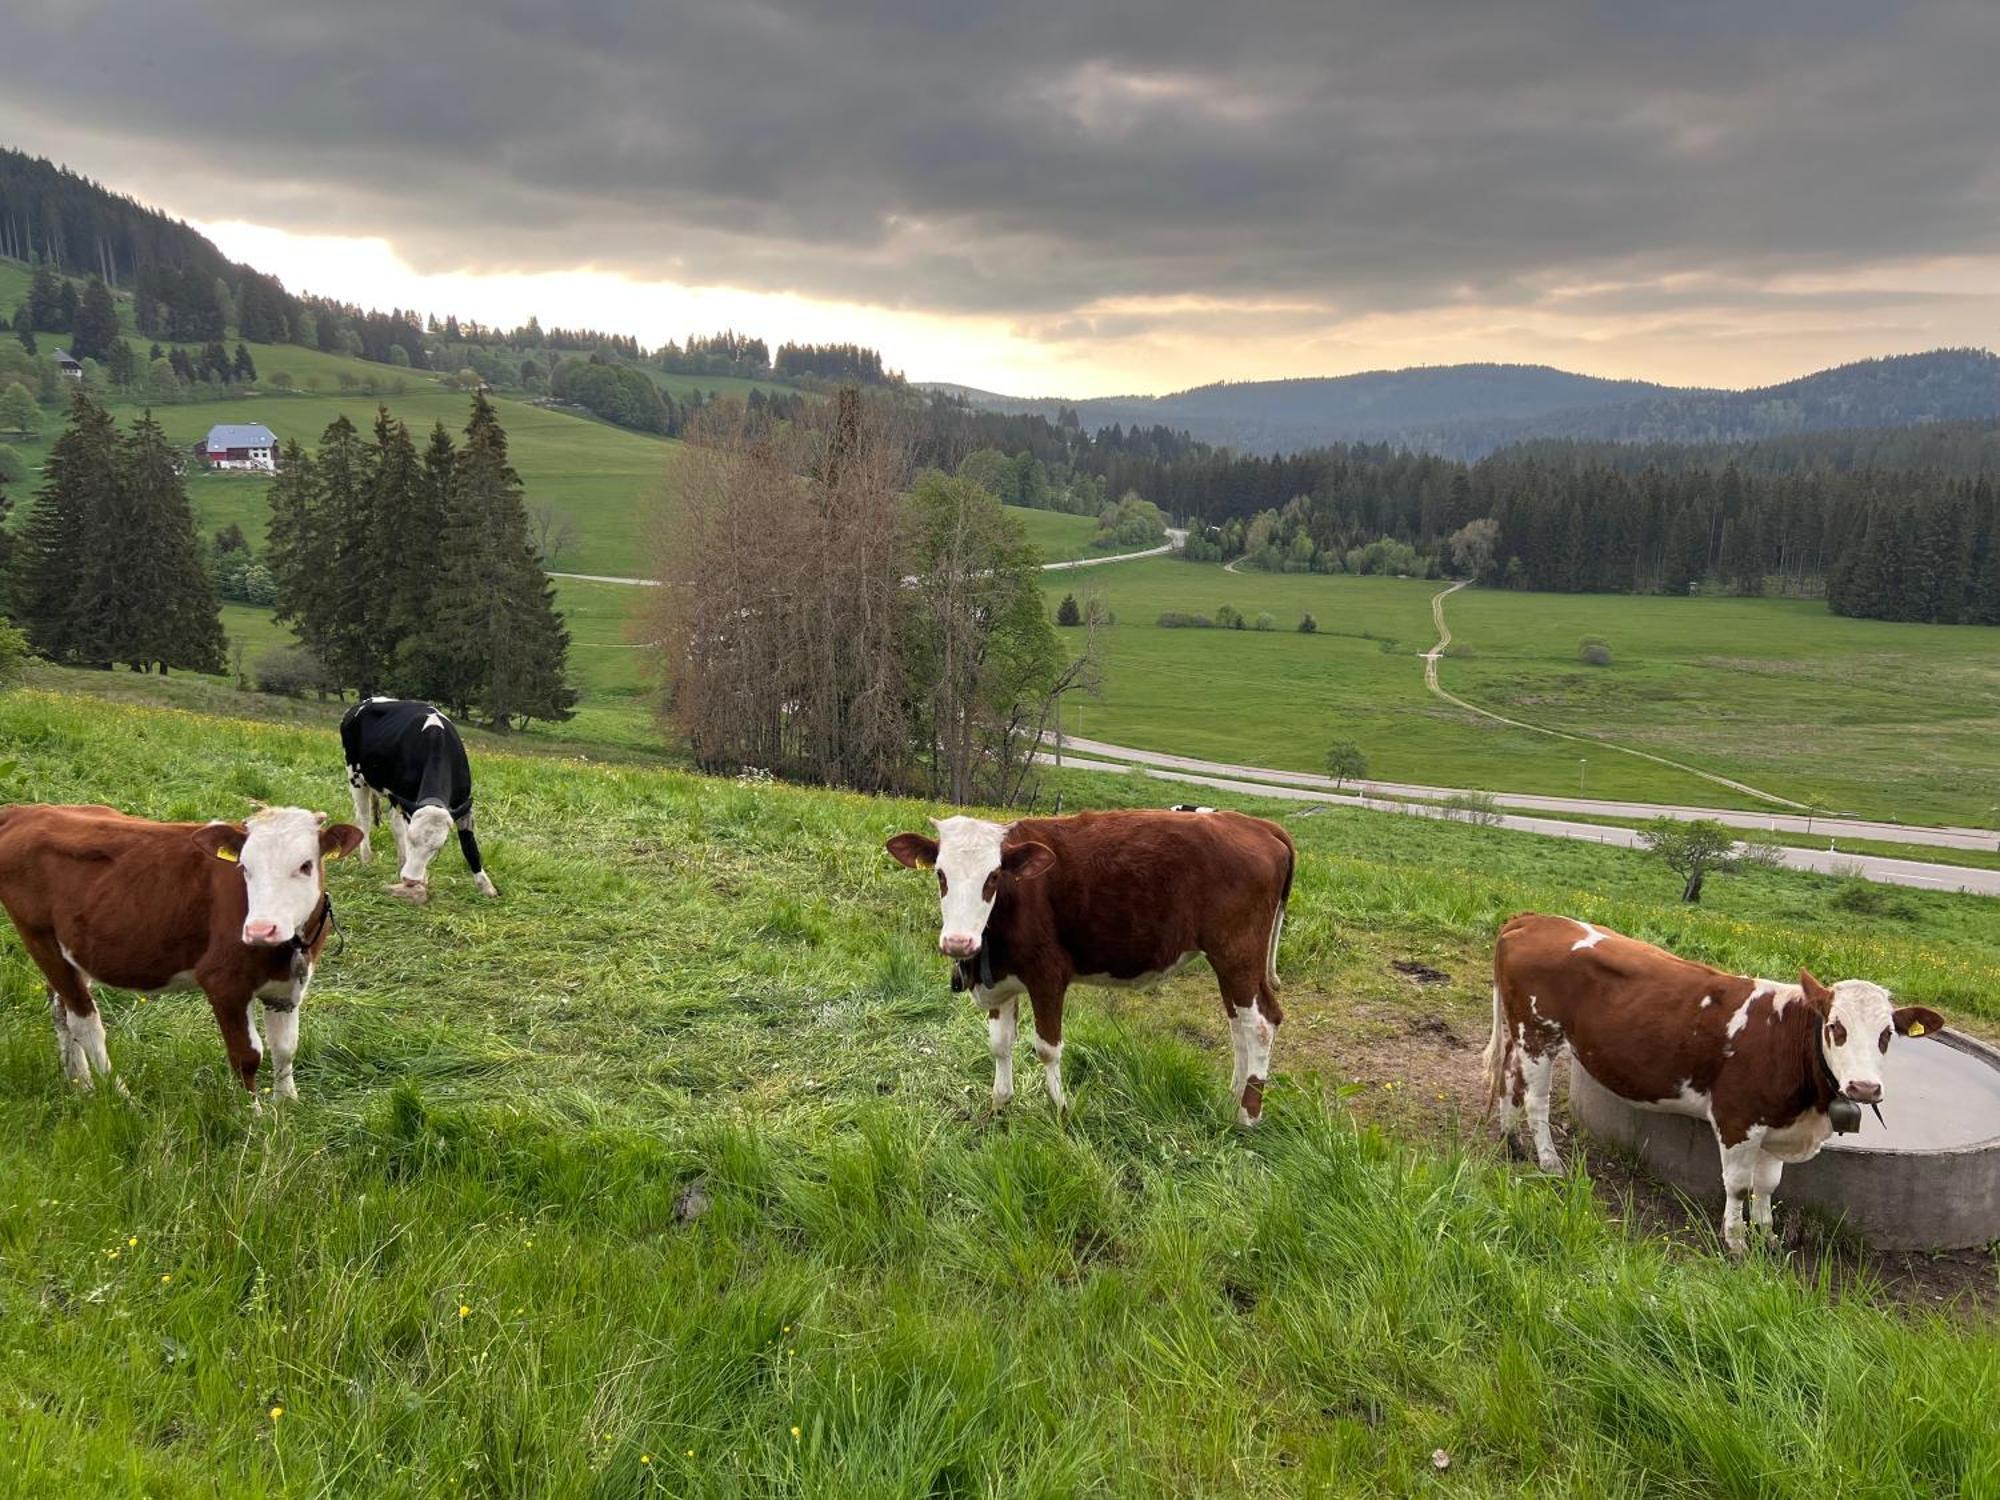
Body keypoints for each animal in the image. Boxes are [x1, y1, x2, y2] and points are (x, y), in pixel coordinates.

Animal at [0, 812, 366, 1104]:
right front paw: (253, 1119)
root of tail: (27, 812)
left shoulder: (286, 987)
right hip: (39, 938)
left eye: (305, 865)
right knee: (84, 1022)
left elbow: (286, 1048)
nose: (261, 929)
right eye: (244, 867)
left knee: (60, 1009)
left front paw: (287, 1105)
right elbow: (246, 1056)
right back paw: (120, 1096)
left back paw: (80, 1084)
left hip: (72, 950)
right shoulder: (223, 982)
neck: (287, 948)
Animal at [336, 704, 492, 904]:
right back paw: (367, 858)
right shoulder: (407, 804)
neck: (437, 743)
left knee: (394, 823)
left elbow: (469, 846)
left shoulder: (462, 805)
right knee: (364, 818)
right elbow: (402, 833)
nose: (410, 880)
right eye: (411, 839)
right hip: (356, 777)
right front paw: (421, 880)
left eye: (438, 847)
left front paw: (486, 886)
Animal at [888, 812, 1296, 1128]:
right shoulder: (1001, 981)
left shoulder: (1048, 975)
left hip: (1238, 953)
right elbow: (1000, 1045)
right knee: (1238, 1025)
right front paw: (999, 1106)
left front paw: (1060, 1112)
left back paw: (1247, 1115)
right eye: (940, 874)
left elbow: (1047, 1048)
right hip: (1229, 962)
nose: (958, 942)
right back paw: (1232, 1097)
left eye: (993, 876)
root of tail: (1255, 824)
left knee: (1261, 1024)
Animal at [1496, 916, 1944, 1256]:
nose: (1865, 1088)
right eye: (1836, 1027)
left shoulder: (1776, 1124)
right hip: (1538, 1035)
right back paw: (1549, 1161)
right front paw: (1737, 1243)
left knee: (1508, 1082)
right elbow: (1739, 1185)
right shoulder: (1737, 1119)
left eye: (1887, 1034)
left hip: (1519, 1036)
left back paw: (1510, 1141)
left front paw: (1769, 1236)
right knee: (1536, 1101)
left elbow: (1767, 1185)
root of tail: (1536, 918)